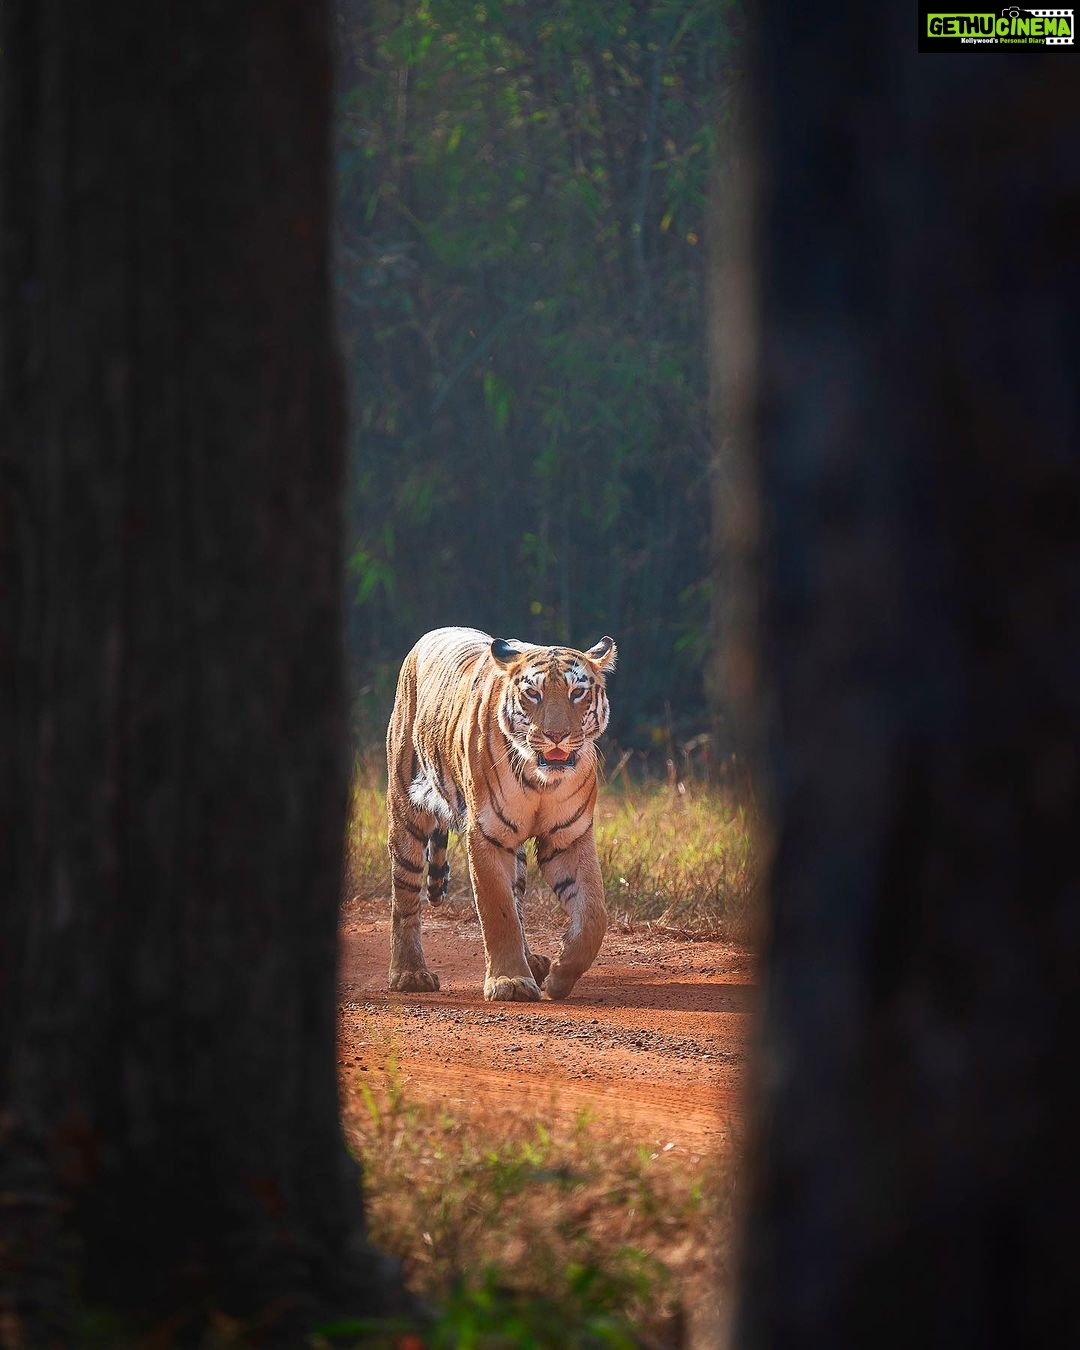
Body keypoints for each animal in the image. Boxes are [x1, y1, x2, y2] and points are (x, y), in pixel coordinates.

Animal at [385, 626, 617, 1001]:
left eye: (577, 692)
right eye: (533, 694)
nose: (556, 735)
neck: (542, 782)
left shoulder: (568, 837)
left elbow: (594, 916)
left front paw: (560, 977)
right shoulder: (487, 834)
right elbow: (499, 911)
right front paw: (510, 981)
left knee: (520, 898)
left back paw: (534, 962)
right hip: (407, 809)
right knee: (405, 896)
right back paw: (410, 974)